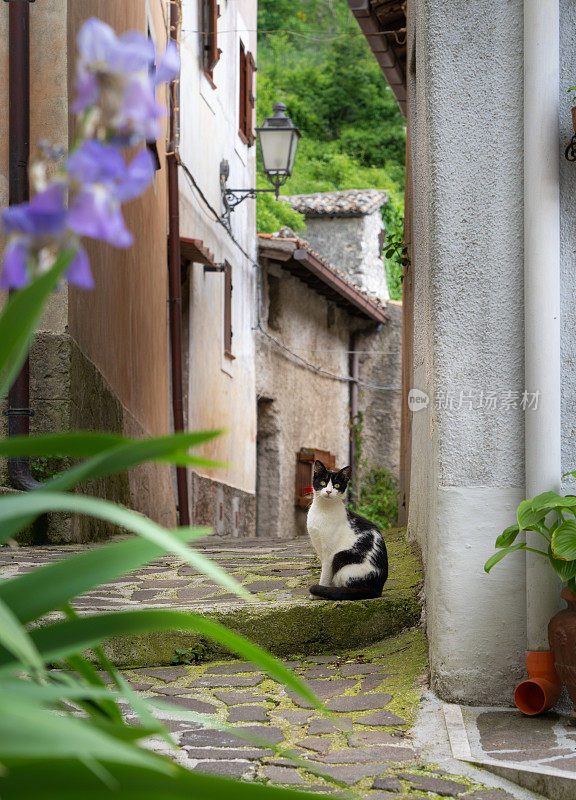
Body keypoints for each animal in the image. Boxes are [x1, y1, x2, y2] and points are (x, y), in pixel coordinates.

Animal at [306, 456, 388, 600]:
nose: (328, 491)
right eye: (323, 482)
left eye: (337, 485)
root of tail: (377, 588)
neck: (323, 509)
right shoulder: (319, 548)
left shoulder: (329, 554)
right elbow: (327, 575)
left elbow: (325, 575)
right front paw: (324, 590)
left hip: (340, 557)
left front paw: (318, 594)